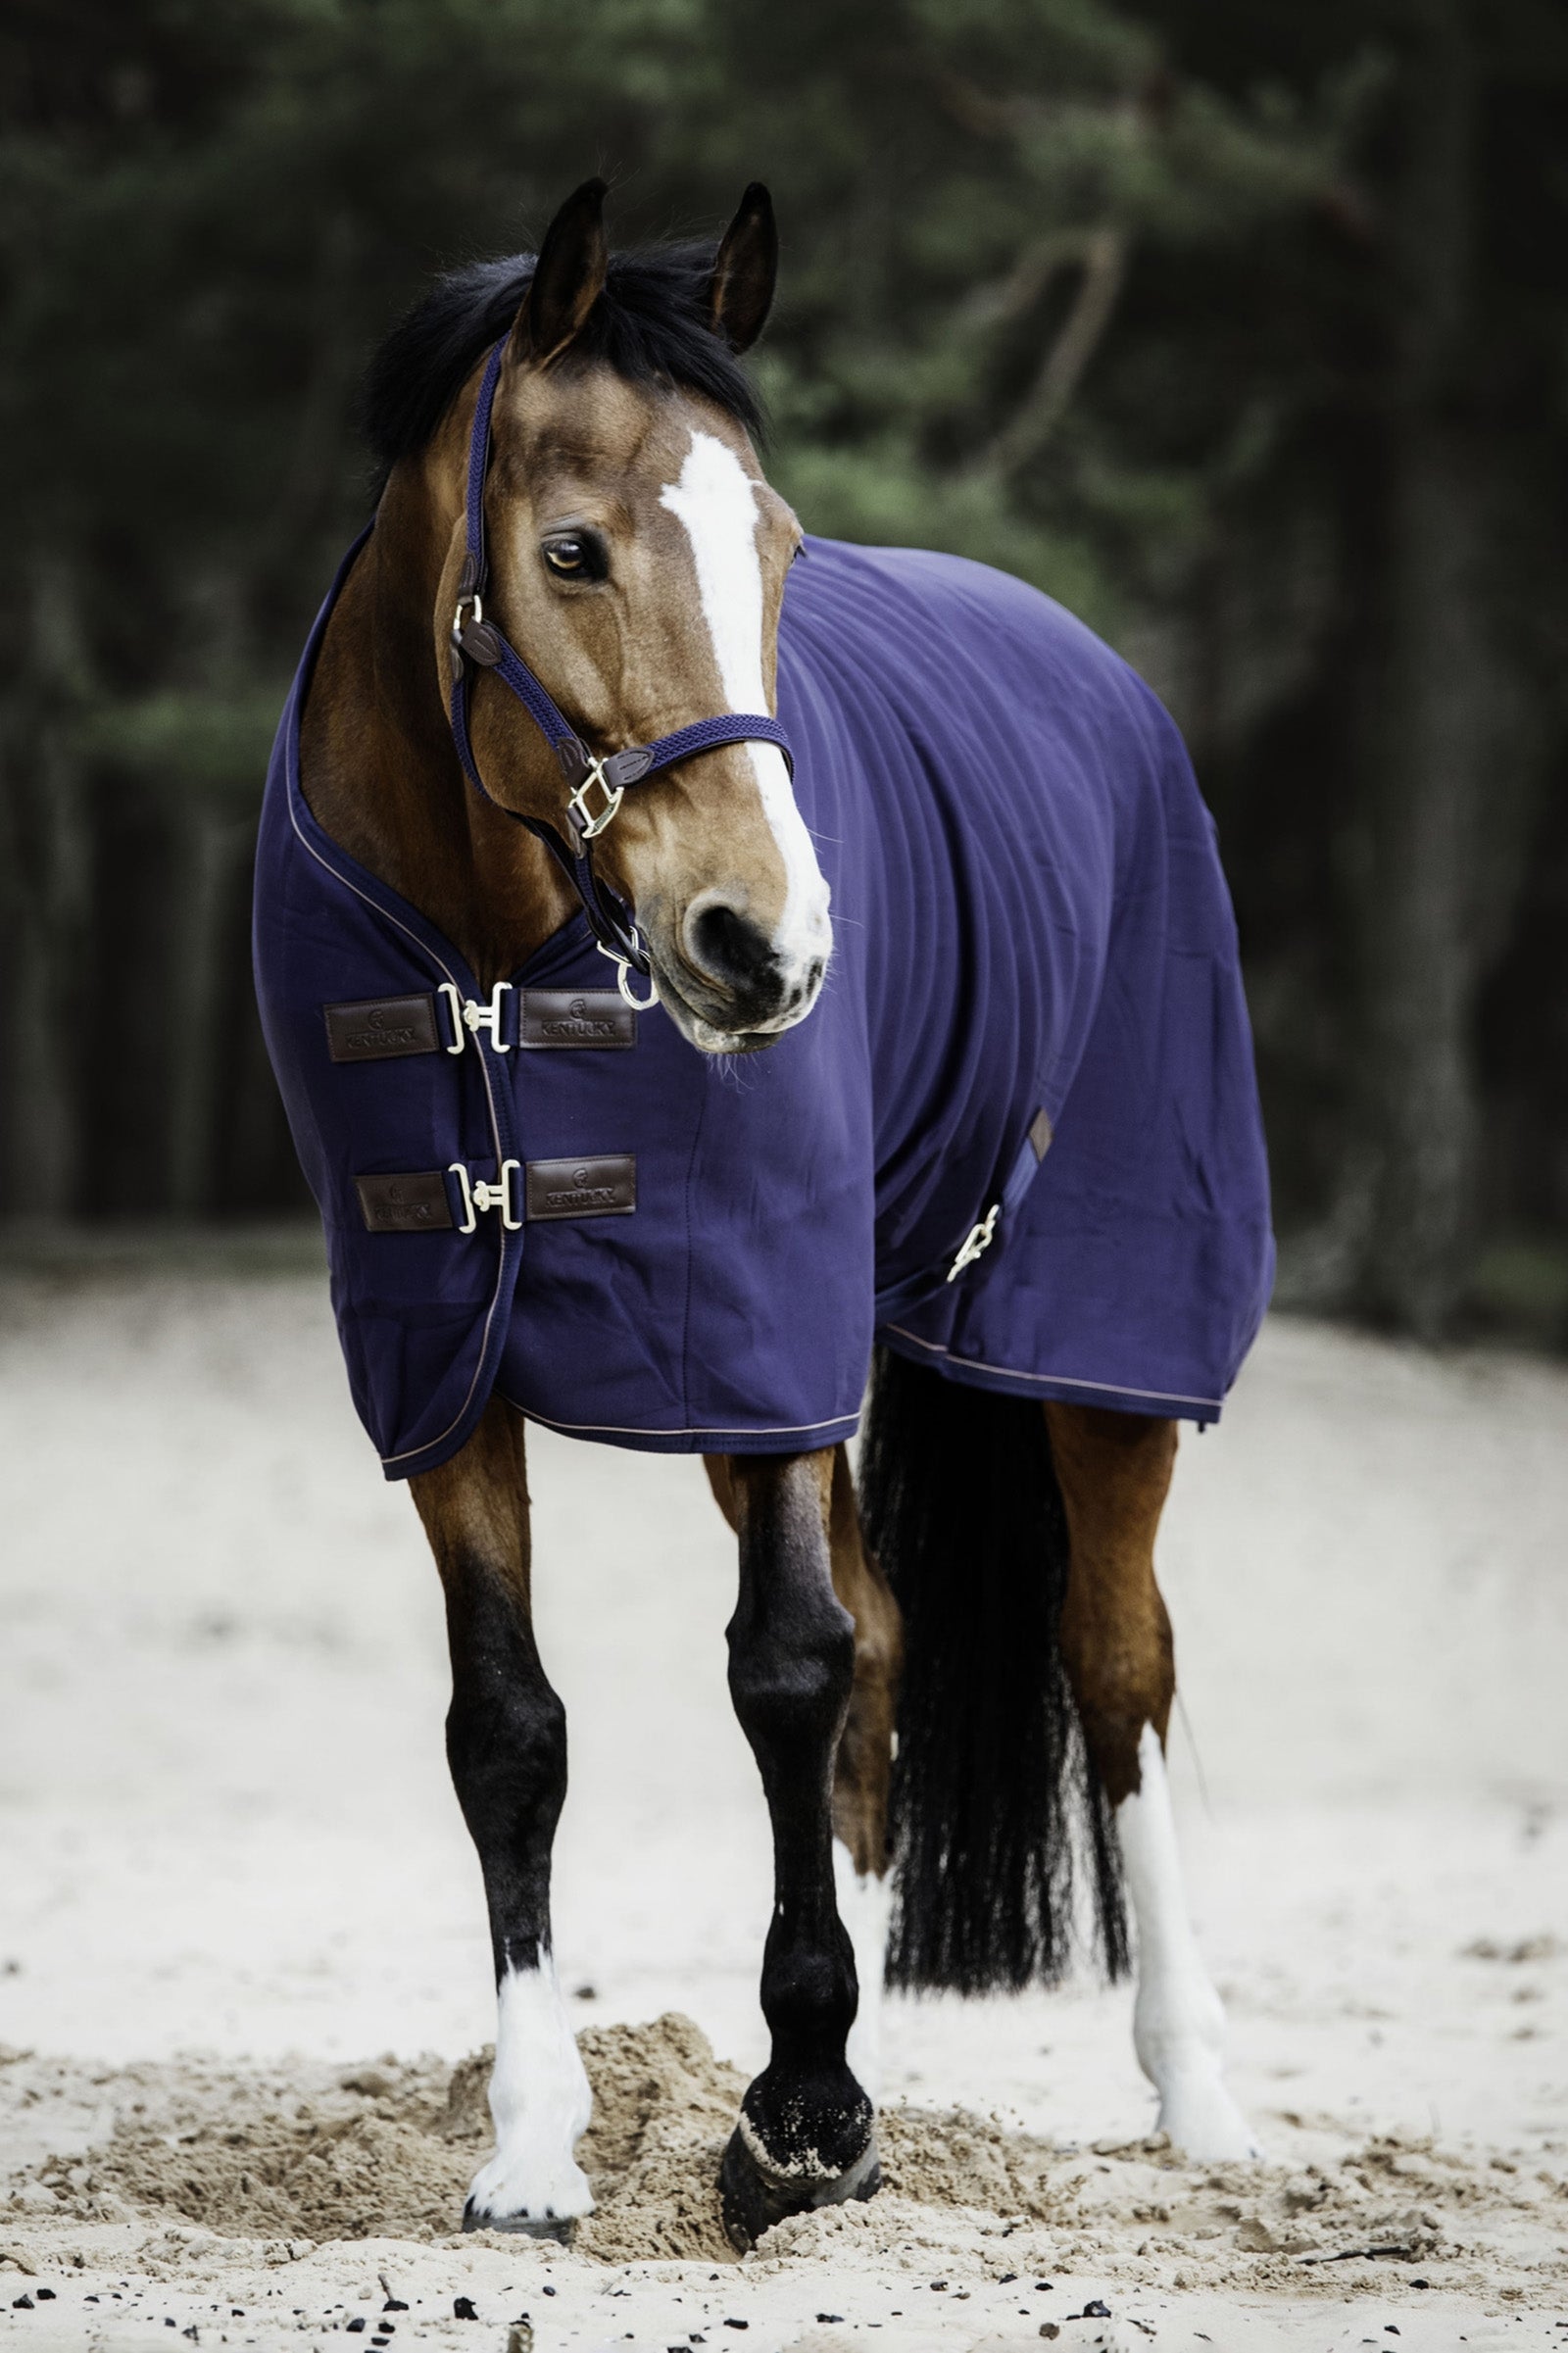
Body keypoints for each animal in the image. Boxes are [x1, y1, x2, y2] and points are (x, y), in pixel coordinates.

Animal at [253, 177, 1273, 2250]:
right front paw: (540, 2144)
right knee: (890, 1653)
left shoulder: (761, 1323)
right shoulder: (439, 1360)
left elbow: (788, 1671)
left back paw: (1192, 2093)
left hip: (1088, 1352)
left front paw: (803, 2105)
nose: (768, 946)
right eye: (570, 547)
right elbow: (513, 1728)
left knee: (1114, 1667)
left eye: (783, 548)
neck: (491, 956)